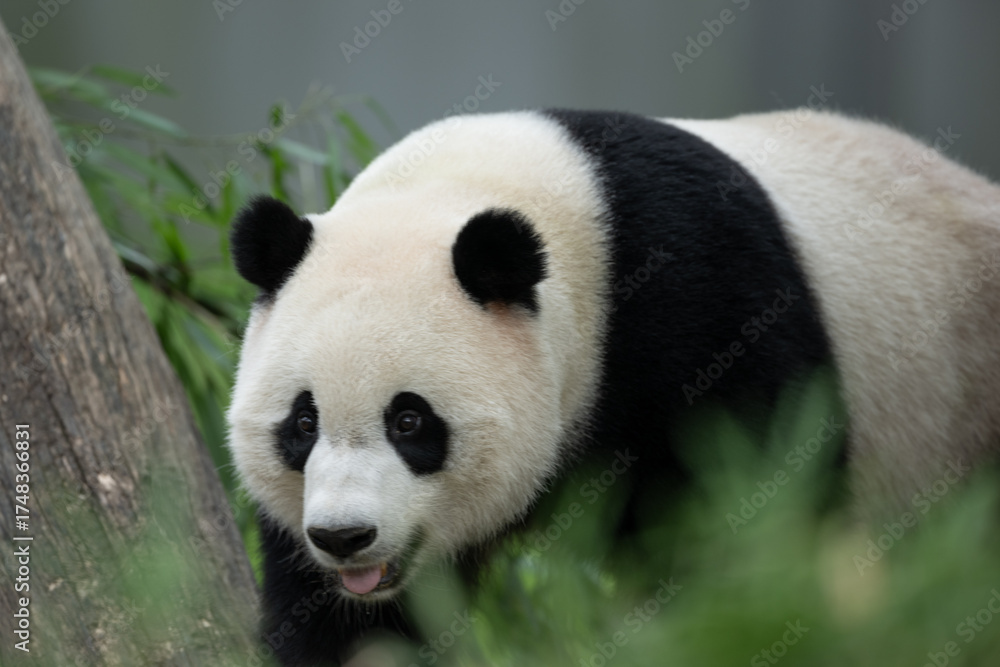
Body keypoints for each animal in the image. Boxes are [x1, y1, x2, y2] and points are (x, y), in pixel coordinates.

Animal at [226, 109, 1000, 665]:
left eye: (410, 421)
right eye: (302, 423)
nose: (345, 536)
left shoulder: (708, 303)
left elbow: (751, 506)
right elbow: (344, 616)